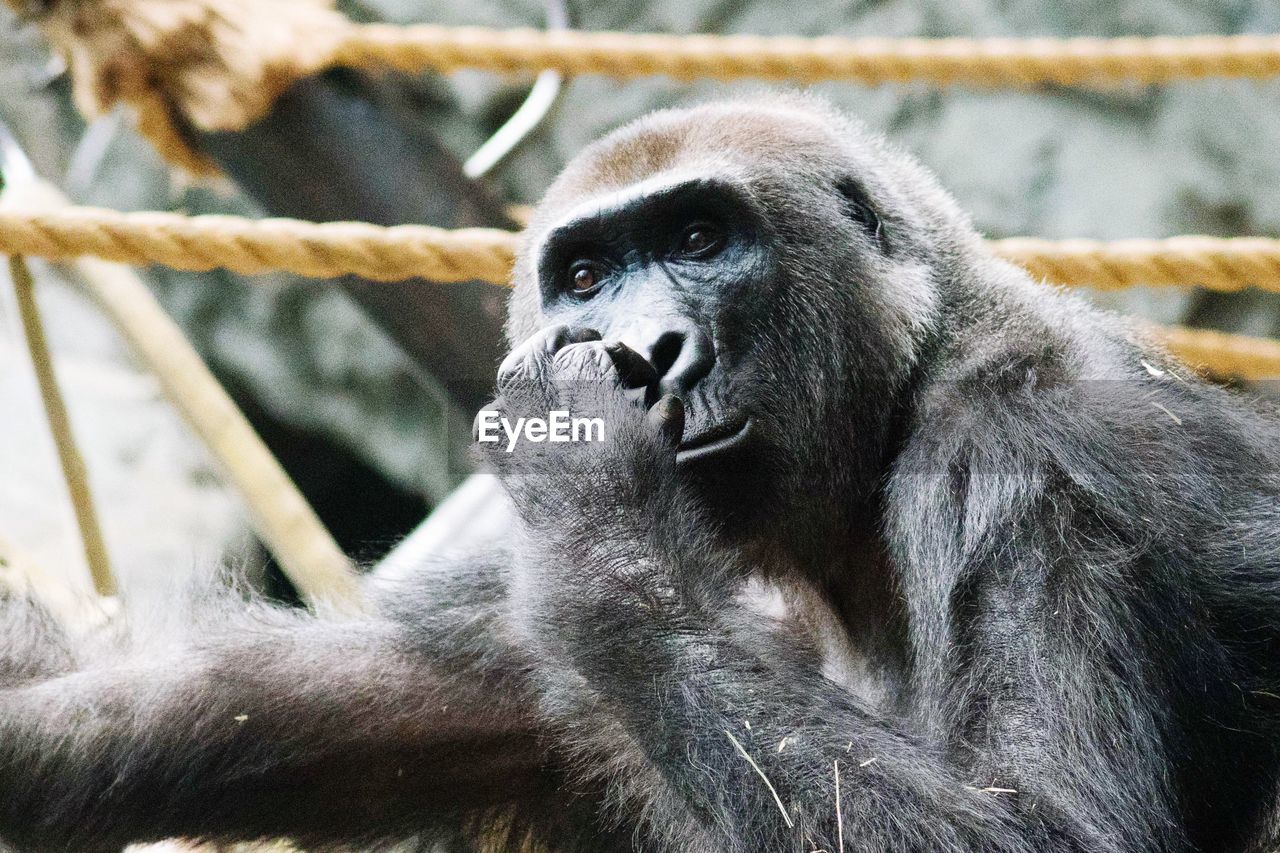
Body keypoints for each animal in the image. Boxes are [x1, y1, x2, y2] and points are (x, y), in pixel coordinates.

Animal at [2, 96, 1280, 845]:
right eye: (585, 276)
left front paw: (595, 485)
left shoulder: (1025, 445)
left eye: (700, 241)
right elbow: (154, 713)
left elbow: (1054, 827)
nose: (648, 349)